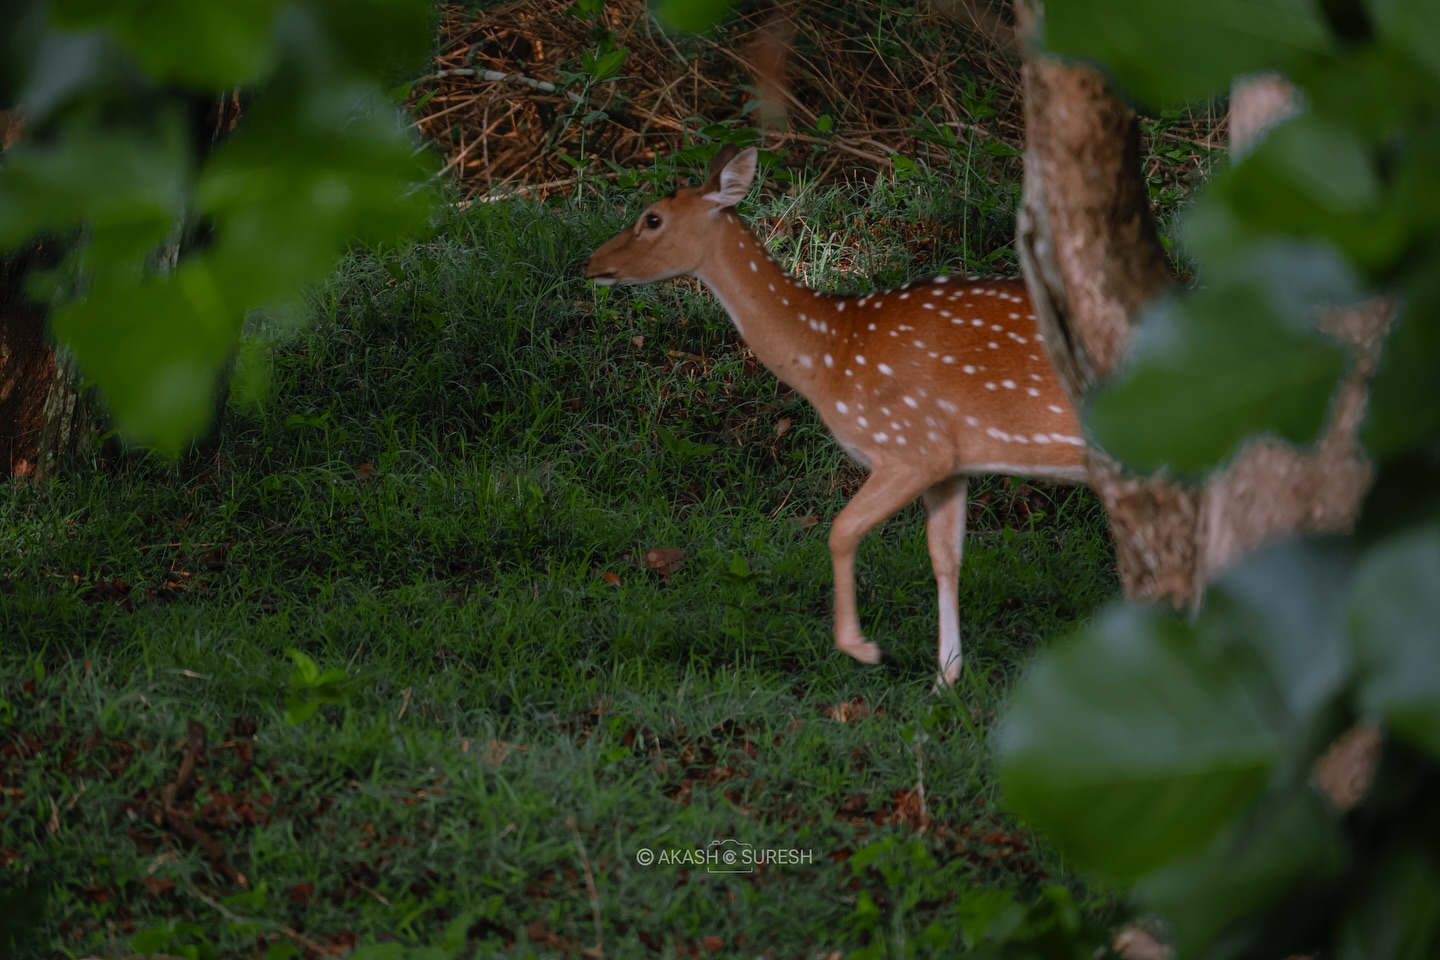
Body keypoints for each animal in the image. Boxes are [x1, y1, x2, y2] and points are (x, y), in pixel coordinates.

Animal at [584, 145, 1088, 686]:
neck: (829, 355)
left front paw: (868, 649)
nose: (591, 262)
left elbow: (840, 532)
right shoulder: (952, 465)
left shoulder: (911, 446)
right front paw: (946, 678)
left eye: (652, 218)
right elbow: (945, 557)